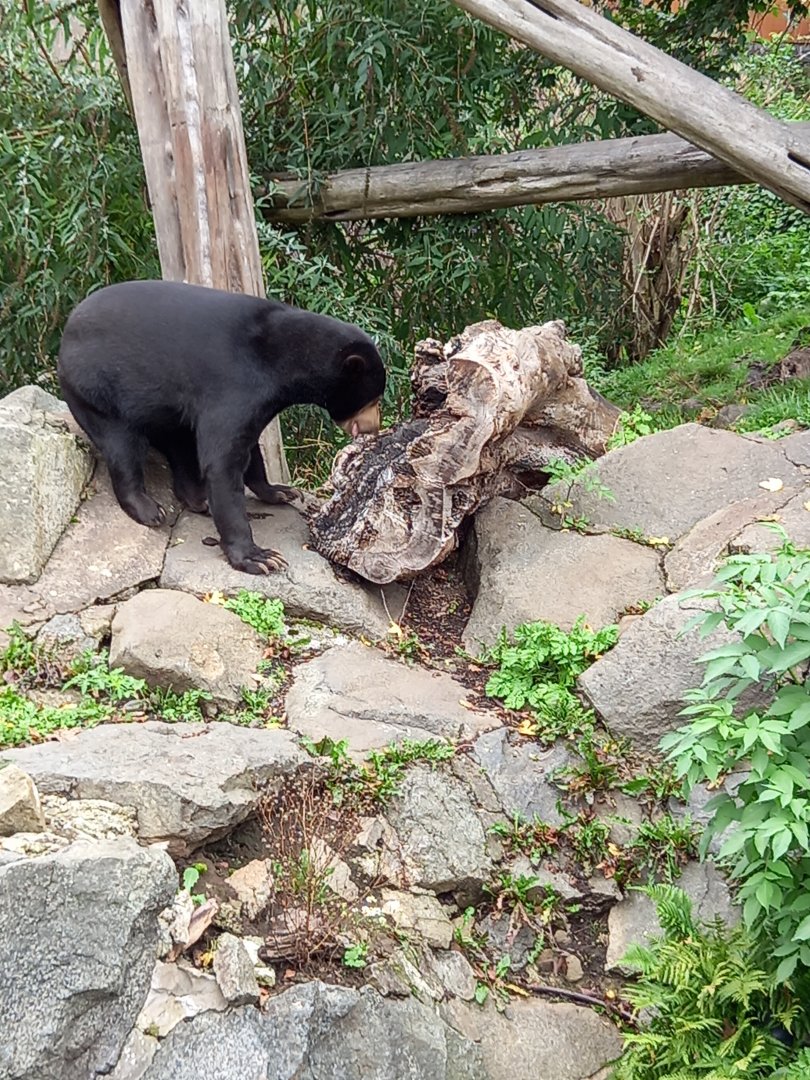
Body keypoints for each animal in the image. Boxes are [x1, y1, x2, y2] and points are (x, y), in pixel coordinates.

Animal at [57, 280, 385, 575]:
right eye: (373, 399)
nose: (374, 428)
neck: (286, 361)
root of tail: (66, 331)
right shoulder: (233, 384)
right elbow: (223, 461)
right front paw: (260, 558)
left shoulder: (258, 400)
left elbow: (250, 449)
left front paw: (280, 492)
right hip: (96, 388)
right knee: (122, 446)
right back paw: (149, 509)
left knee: (177, 441)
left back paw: (197, 498)